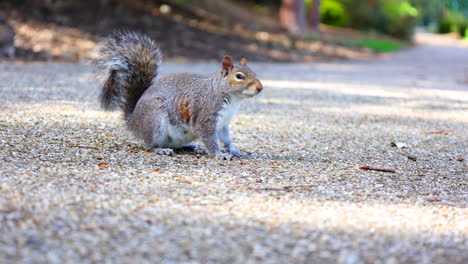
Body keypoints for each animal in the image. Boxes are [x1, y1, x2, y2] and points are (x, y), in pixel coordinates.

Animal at [94, 31, 264, 159]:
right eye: (239, 76)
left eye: (254, 72)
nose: (260, 88)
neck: (231, 98)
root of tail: (133, 121)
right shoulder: (206, 116)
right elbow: (210, 138)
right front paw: (219, 154)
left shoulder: (223, 123)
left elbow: (227, 139)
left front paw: (233, 150)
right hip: (154, 118)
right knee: (150, 145)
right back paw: (160, 149)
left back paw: (192, 147)